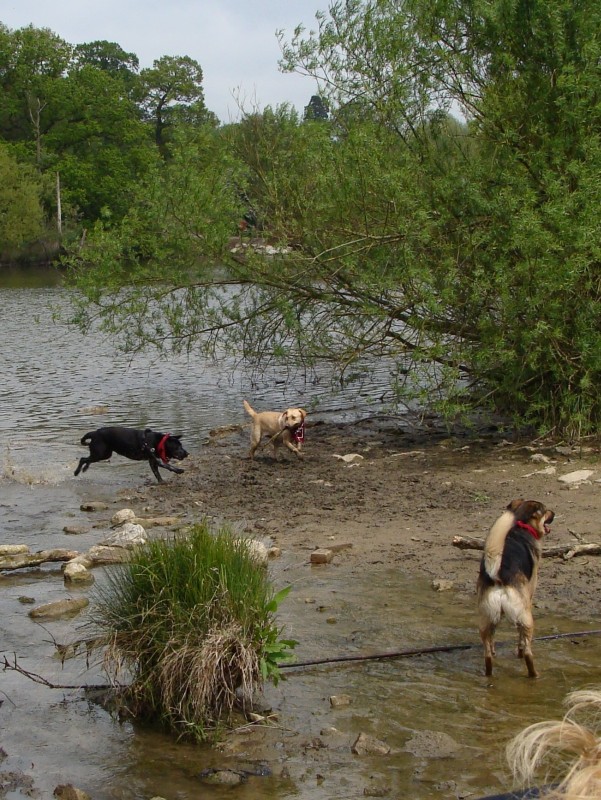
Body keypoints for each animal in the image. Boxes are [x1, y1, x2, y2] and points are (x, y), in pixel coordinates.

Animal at [476, 496, 556, 680]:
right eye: (546, 511)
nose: (554, 513)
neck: (521, 524)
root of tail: (498, 576)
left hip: (487, 618)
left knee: (488, 654)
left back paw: (489, 673)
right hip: (525, 618)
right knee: (526, 650)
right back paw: (534, 674)